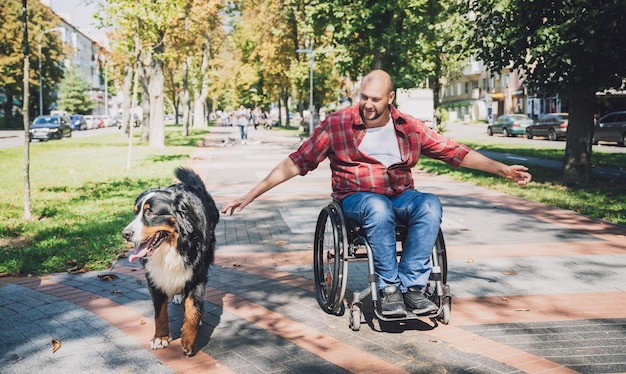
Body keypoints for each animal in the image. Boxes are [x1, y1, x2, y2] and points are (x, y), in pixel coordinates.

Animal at [122, 167, 219, 356]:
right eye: (135, 213)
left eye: (150, 212)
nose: (125, 234)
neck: (172, 248)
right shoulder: (154, 277)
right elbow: (159, 313)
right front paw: (161, 337)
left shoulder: (197, 274)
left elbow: (193, 310)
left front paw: (188, 341)